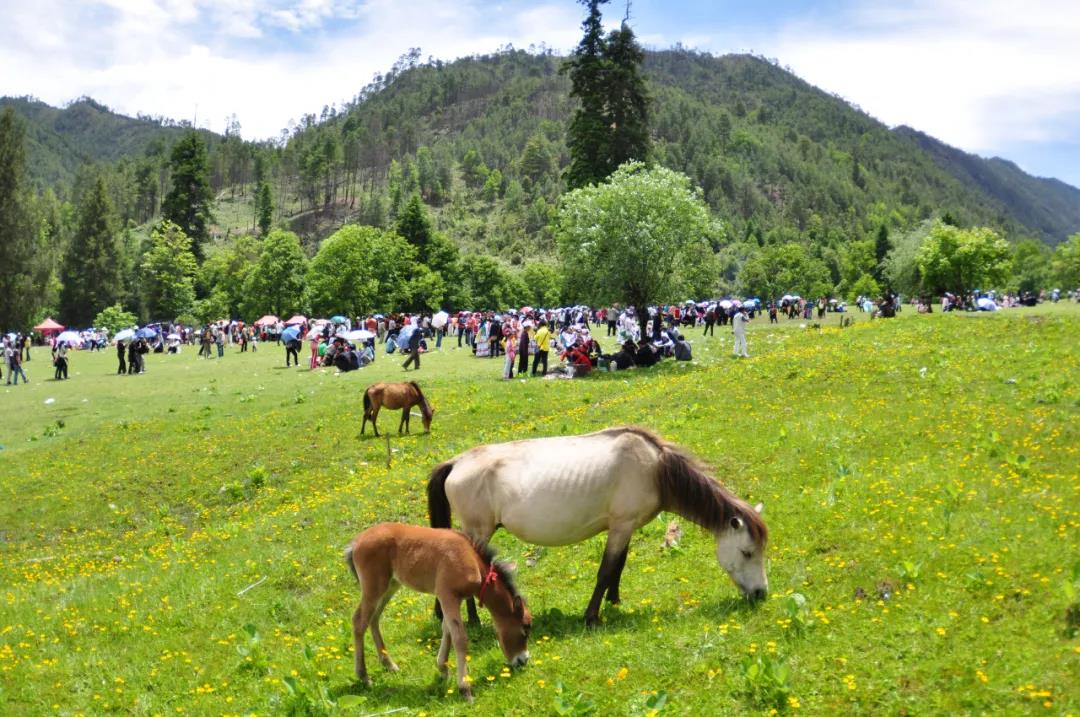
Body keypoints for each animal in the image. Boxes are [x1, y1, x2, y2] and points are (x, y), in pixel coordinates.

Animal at [343, 520, 529, 699]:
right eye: (525, 630)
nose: (524, 660)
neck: (471, 559)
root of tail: (355, 542)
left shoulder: (452, 599)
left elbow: (446, 629)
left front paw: (443, 670)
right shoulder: (447, 595)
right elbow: (460, 638)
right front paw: (465, 689)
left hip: (391, 585)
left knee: (374, 618)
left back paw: (389, 665)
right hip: (374, 587)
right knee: (359, 622)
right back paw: (364, 676)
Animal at [429, 427, 768, 626]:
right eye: (747, 552)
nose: (761, 594)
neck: (655, 468)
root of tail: (456, 462)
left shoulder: (625, 526)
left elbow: (619, 565)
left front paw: (614, 601)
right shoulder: (621, 525)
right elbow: (606, 570)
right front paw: (592, 616)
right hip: (479, 531)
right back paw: (474, 621)